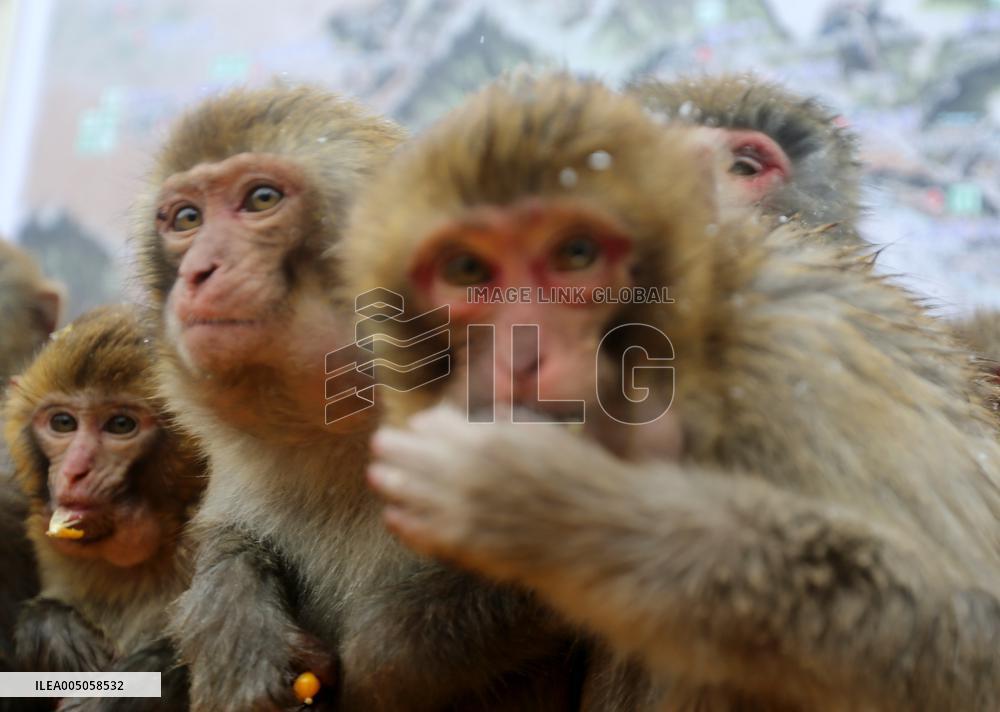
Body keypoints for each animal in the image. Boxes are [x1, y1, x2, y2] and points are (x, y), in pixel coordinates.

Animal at [134, 84, 579, 712]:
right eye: (187, 219)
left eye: (261, 199)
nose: (199, 272)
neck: (340, 428)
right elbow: (228, 535)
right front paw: (236, 621)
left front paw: (384, 661)